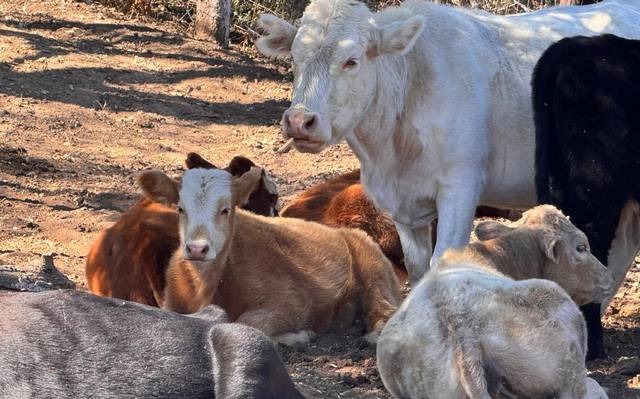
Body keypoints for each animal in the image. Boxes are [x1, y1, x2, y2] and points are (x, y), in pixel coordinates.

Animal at [139, 167, 400, 346]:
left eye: (226, 209)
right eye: (180, 208)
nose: (196, 249)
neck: (203, 289)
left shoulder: (292, 301)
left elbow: (246, 323)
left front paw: (299, 335)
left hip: (374, 269)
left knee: (383, 308)